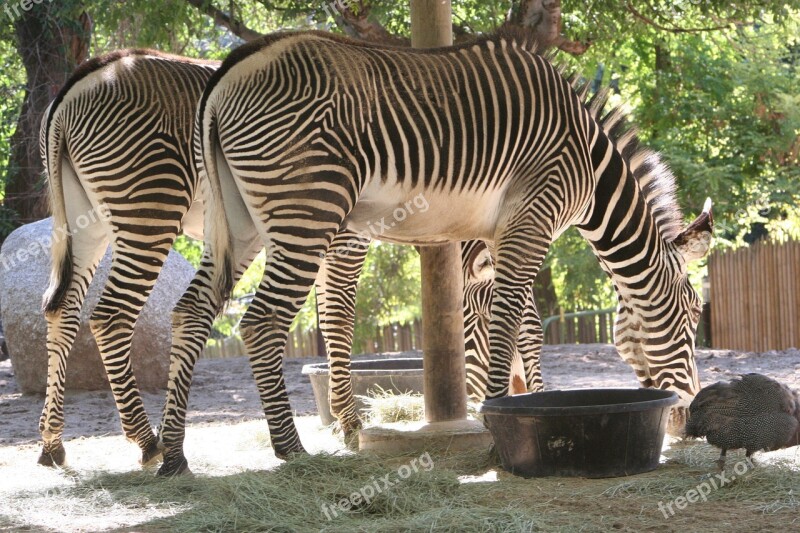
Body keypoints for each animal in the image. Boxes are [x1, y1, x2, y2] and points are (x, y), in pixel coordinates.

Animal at [36, 48, 532, 466]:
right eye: (483, 320)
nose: (517, 392)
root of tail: (84, 78)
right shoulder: (348, 234)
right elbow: (338, 317)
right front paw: (350, 425)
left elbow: (328, 316)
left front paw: (343, 420)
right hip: (149, 207)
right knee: (109, 315)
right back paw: (147, 441)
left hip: (89, 221)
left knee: (62, 309)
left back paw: (53, 444)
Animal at [156, 29, 712, 474]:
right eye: (693, 313)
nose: (687, 417)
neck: (595, 175)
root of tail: (230, 68)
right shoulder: (533, 217)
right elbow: (508, 322)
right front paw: (499, 426)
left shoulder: (498, 235)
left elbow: (515, 326)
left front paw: (511, 405)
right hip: (307, 207)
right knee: (261, 321)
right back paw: (291, 451)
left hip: (241, 221)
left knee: (190, 311)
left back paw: (174, 455)